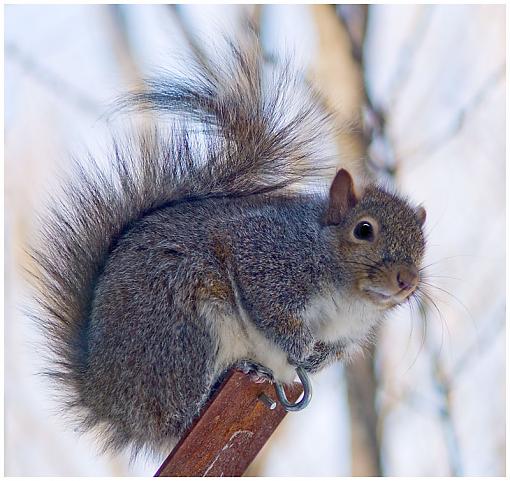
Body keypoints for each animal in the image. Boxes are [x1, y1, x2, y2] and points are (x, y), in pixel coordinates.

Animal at [27, 34, 426, 458]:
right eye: (363, 230)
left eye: (422, 246)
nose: (407, 281)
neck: (348, 298)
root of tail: (104, 397)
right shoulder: (265, 253)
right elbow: (266, 303)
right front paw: (297, 344)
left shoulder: (345, 334)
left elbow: (328, 351)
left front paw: (314, 358)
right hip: (184, 330)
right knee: (178, 414)